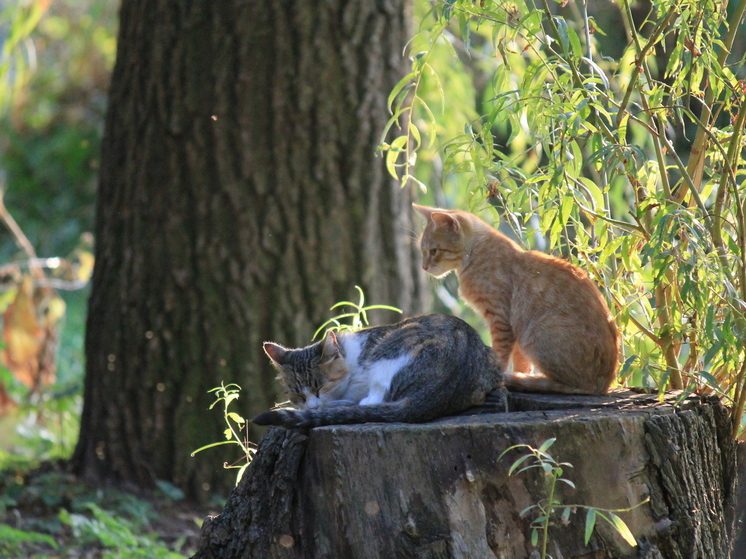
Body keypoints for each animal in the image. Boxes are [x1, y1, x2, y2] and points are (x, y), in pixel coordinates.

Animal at [412, 205, 616, 394]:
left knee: (569, 385)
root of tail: (603, 386)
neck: (475, 253)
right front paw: (519, 372)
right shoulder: (516, 329)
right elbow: (521, 361)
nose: (423, 267)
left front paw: (498, 376)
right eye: (423, 251)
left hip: (538, 333)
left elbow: (500, 354)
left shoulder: (500, 319)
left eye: (433, 251)